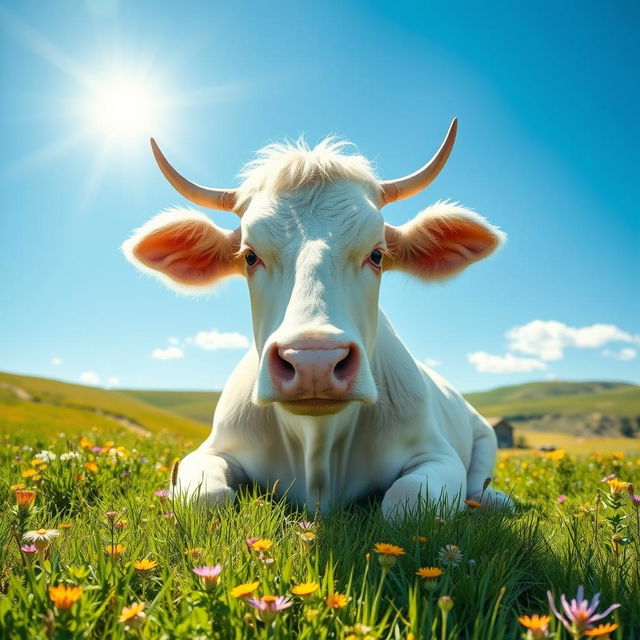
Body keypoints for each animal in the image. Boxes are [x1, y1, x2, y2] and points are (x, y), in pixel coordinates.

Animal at [124, 120, 510, 516]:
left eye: (377, 254)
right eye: (249, 256)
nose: (314, 362)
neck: (318, 451)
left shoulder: (437, 454)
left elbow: (405, 500)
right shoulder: (212, 449)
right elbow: (206, 497)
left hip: (485, 432)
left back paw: (494, 498)